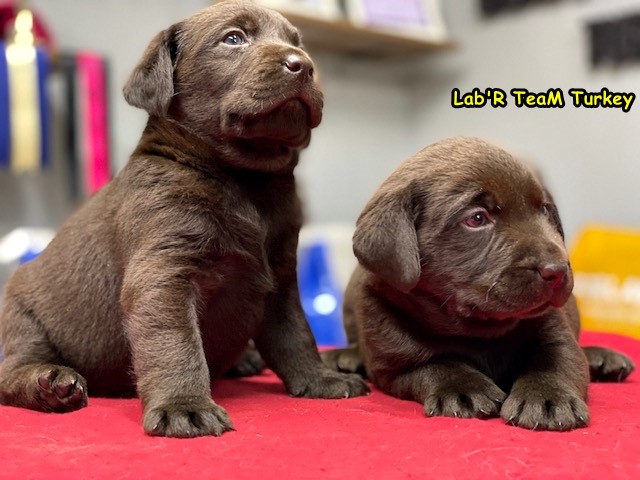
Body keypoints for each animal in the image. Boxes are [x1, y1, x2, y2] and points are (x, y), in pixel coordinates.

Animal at [0, 0, 364, 436]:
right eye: (233, 38)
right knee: (11, 370)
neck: (246, 183)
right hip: (23, 315)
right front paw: (184, 406)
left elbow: (296, 333)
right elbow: (177, 344)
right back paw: (50, 383)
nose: (304, 65)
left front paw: (320, 378)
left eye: (297, 43)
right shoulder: (163, 274)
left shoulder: (280, 278)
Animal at [324, 136, 636, 432]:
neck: (478, 330)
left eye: (545, 210)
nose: (557, 270)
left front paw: (548, 397)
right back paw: (345, 356)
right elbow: (434, 361)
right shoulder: (393, 360)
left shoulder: (554, 330)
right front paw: (464, 388)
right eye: (476, 218)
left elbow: (556, 360)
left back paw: (602, 358)